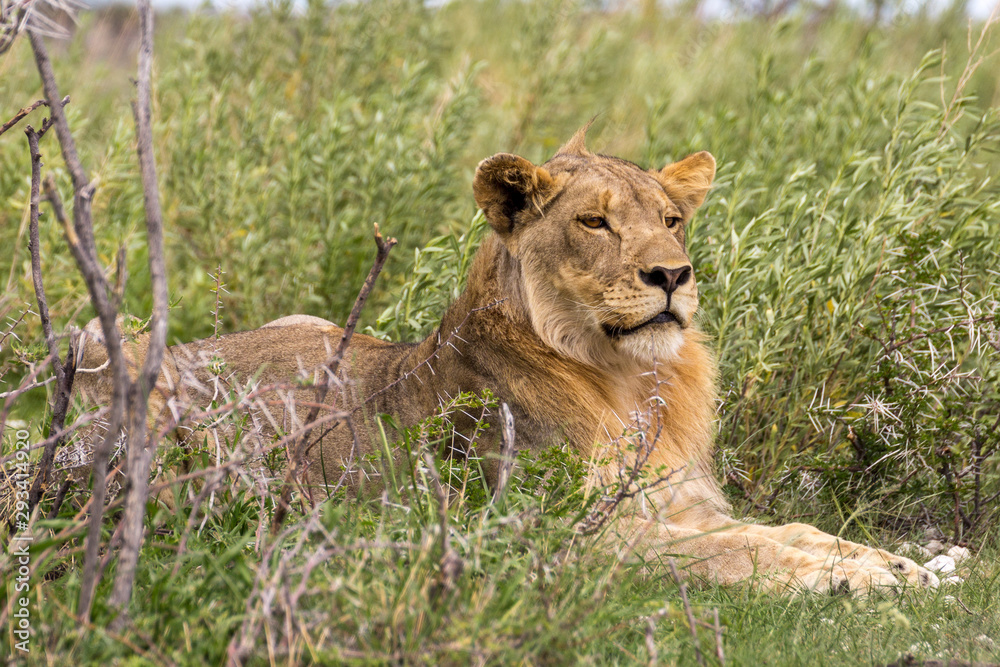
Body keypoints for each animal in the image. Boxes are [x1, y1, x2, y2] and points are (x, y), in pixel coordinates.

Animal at [71, 127, 938, 594]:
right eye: (594, 222)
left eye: (671, 219)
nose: (673, 275)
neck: (630, 380)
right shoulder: (566, 534)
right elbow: (732, 552)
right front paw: (860, 578)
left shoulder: (682, 501)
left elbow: (789, 526)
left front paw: (900, 559)